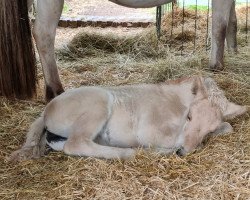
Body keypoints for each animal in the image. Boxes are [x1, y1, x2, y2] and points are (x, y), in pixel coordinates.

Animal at [0, 0, 237, 100]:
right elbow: (219, 26)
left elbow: (231, 23)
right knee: (43, 33)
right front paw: (216, 66)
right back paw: (55, 91)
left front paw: (234, 53)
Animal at [8, 76, 247, 162]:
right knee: (75, 144)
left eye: (209, 130)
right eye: (189, 116)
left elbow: (228, 126)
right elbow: (168, 141)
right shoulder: (149, 130)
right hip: (97, 105)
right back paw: (130, 153)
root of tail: (46, 111)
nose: (183, 153)